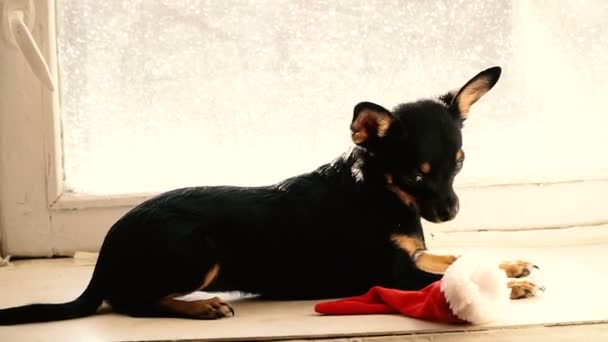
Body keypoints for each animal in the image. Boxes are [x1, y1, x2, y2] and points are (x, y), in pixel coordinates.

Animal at [1, 66, 524, 324]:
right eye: (414, 176)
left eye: (459, 164)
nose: (450, 211)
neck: (380, 193)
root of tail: (107, 252)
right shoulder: (393, 273)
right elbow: (441, 276)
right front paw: (511, 285)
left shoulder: (411, 256)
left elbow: (455, 259)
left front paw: (511, 265)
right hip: (198, 249)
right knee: (134, 300)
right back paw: (200, 307)